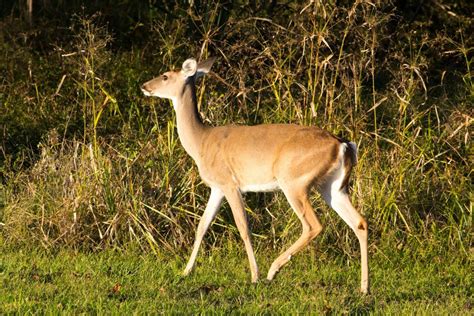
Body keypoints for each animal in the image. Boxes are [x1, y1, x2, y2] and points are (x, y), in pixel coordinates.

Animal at [141, 56, 370, 294]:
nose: (144, 86)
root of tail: (343, 145)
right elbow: (202, 226)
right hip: (332, 186)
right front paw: (186, 271)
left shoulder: (230, 183)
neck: (201, 142)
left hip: (293, 181)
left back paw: (272, 270)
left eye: (165, 76)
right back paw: (364, 287)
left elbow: (243, 227)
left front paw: (254, 275)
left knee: (313, 225)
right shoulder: (217, 187)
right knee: (359, 222)